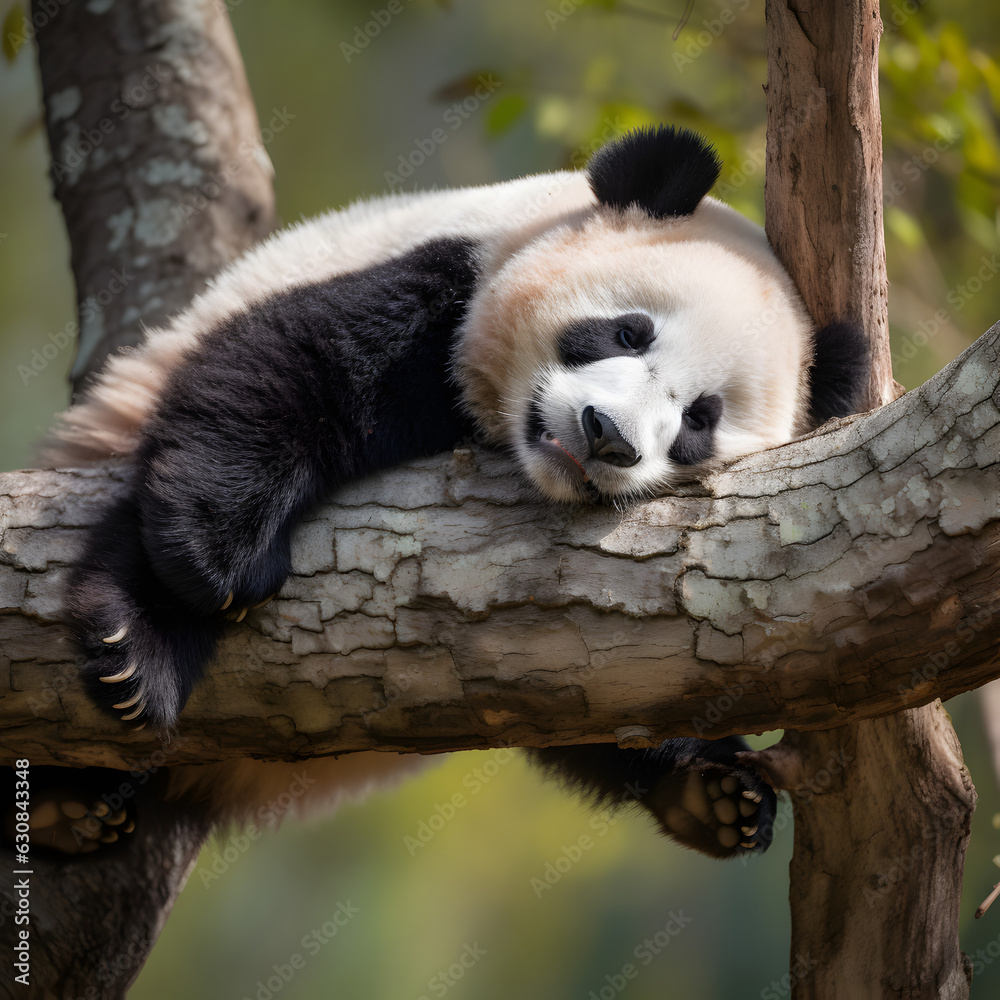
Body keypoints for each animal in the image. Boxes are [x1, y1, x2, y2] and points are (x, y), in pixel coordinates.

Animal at [32, 125, 868, 861]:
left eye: (699, 419)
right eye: (629, 332)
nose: (607, 436)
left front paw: (712, 785)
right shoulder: (448, 279)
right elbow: (294, 362)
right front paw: (218, 565)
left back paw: (715, 798)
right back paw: (122, 684)